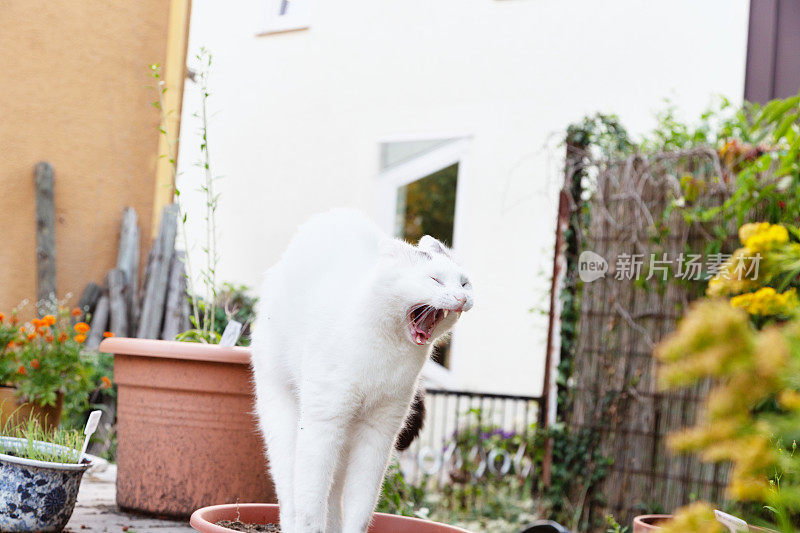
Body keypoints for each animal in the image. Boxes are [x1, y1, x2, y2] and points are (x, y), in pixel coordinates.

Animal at [250, 209, 472, 532]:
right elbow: (310, 505)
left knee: (334, 496)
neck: (388, 351)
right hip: (286, 419)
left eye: (465, 284)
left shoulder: (378, 431)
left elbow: (360, 506)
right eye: (435, 280)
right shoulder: (322, 424)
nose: (463, 298)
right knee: (290, 491)